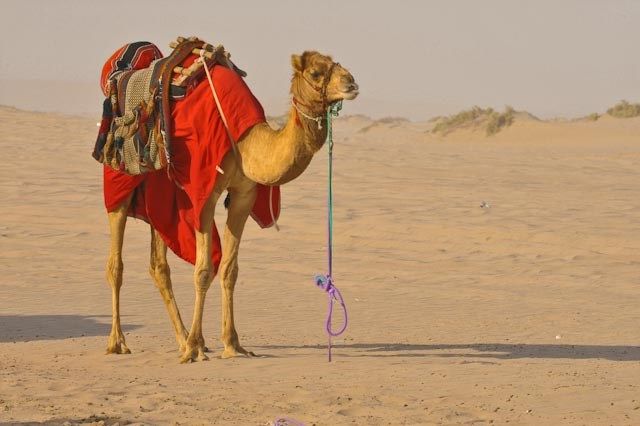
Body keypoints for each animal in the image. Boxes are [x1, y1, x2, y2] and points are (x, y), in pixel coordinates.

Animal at [104, 51, 359, 362]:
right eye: (315, 73)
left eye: (336, 65)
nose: (351, 83)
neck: (248, 143)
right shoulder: (204, 194)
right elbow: (203, 271)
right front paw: (195, 349)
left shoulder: (244, 194)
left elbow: (229, 269)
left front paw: (231, 344)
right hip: (120, 183)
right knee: (116, 264)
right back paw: (119, 342)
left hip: (160, 191)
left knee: (159, 266)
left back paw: (181, 339)